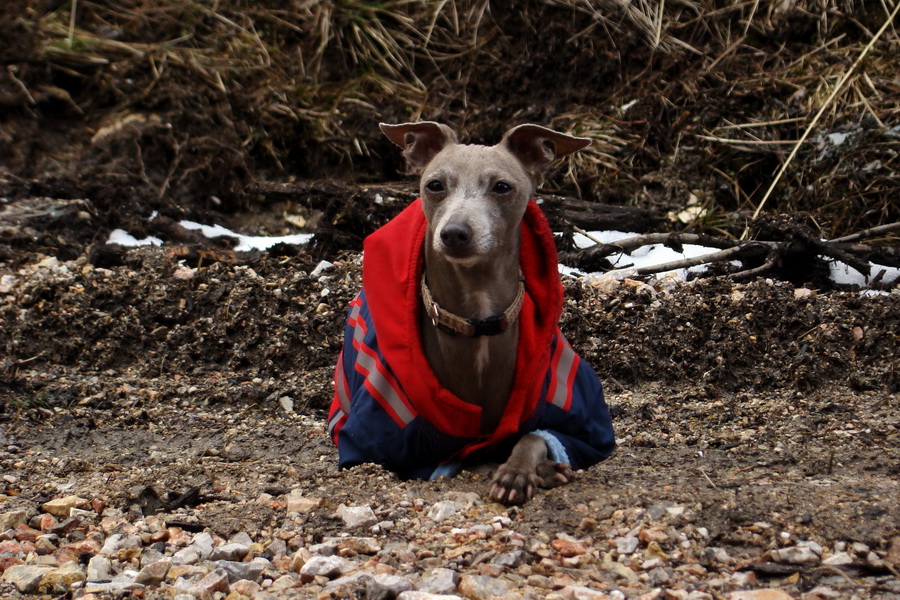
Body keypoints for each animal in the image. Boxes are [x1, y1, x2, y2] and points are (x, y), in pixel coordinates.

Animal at [326, 120, 616, 502]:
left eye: (502, 187)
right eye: (435, 185)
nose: (455, 233)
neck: (478, 321)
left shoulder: (583, 423)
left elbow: (535, 435)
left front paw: (522, 469)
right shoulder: (379, 448)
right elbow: (468, 457)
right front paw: (522, 468)